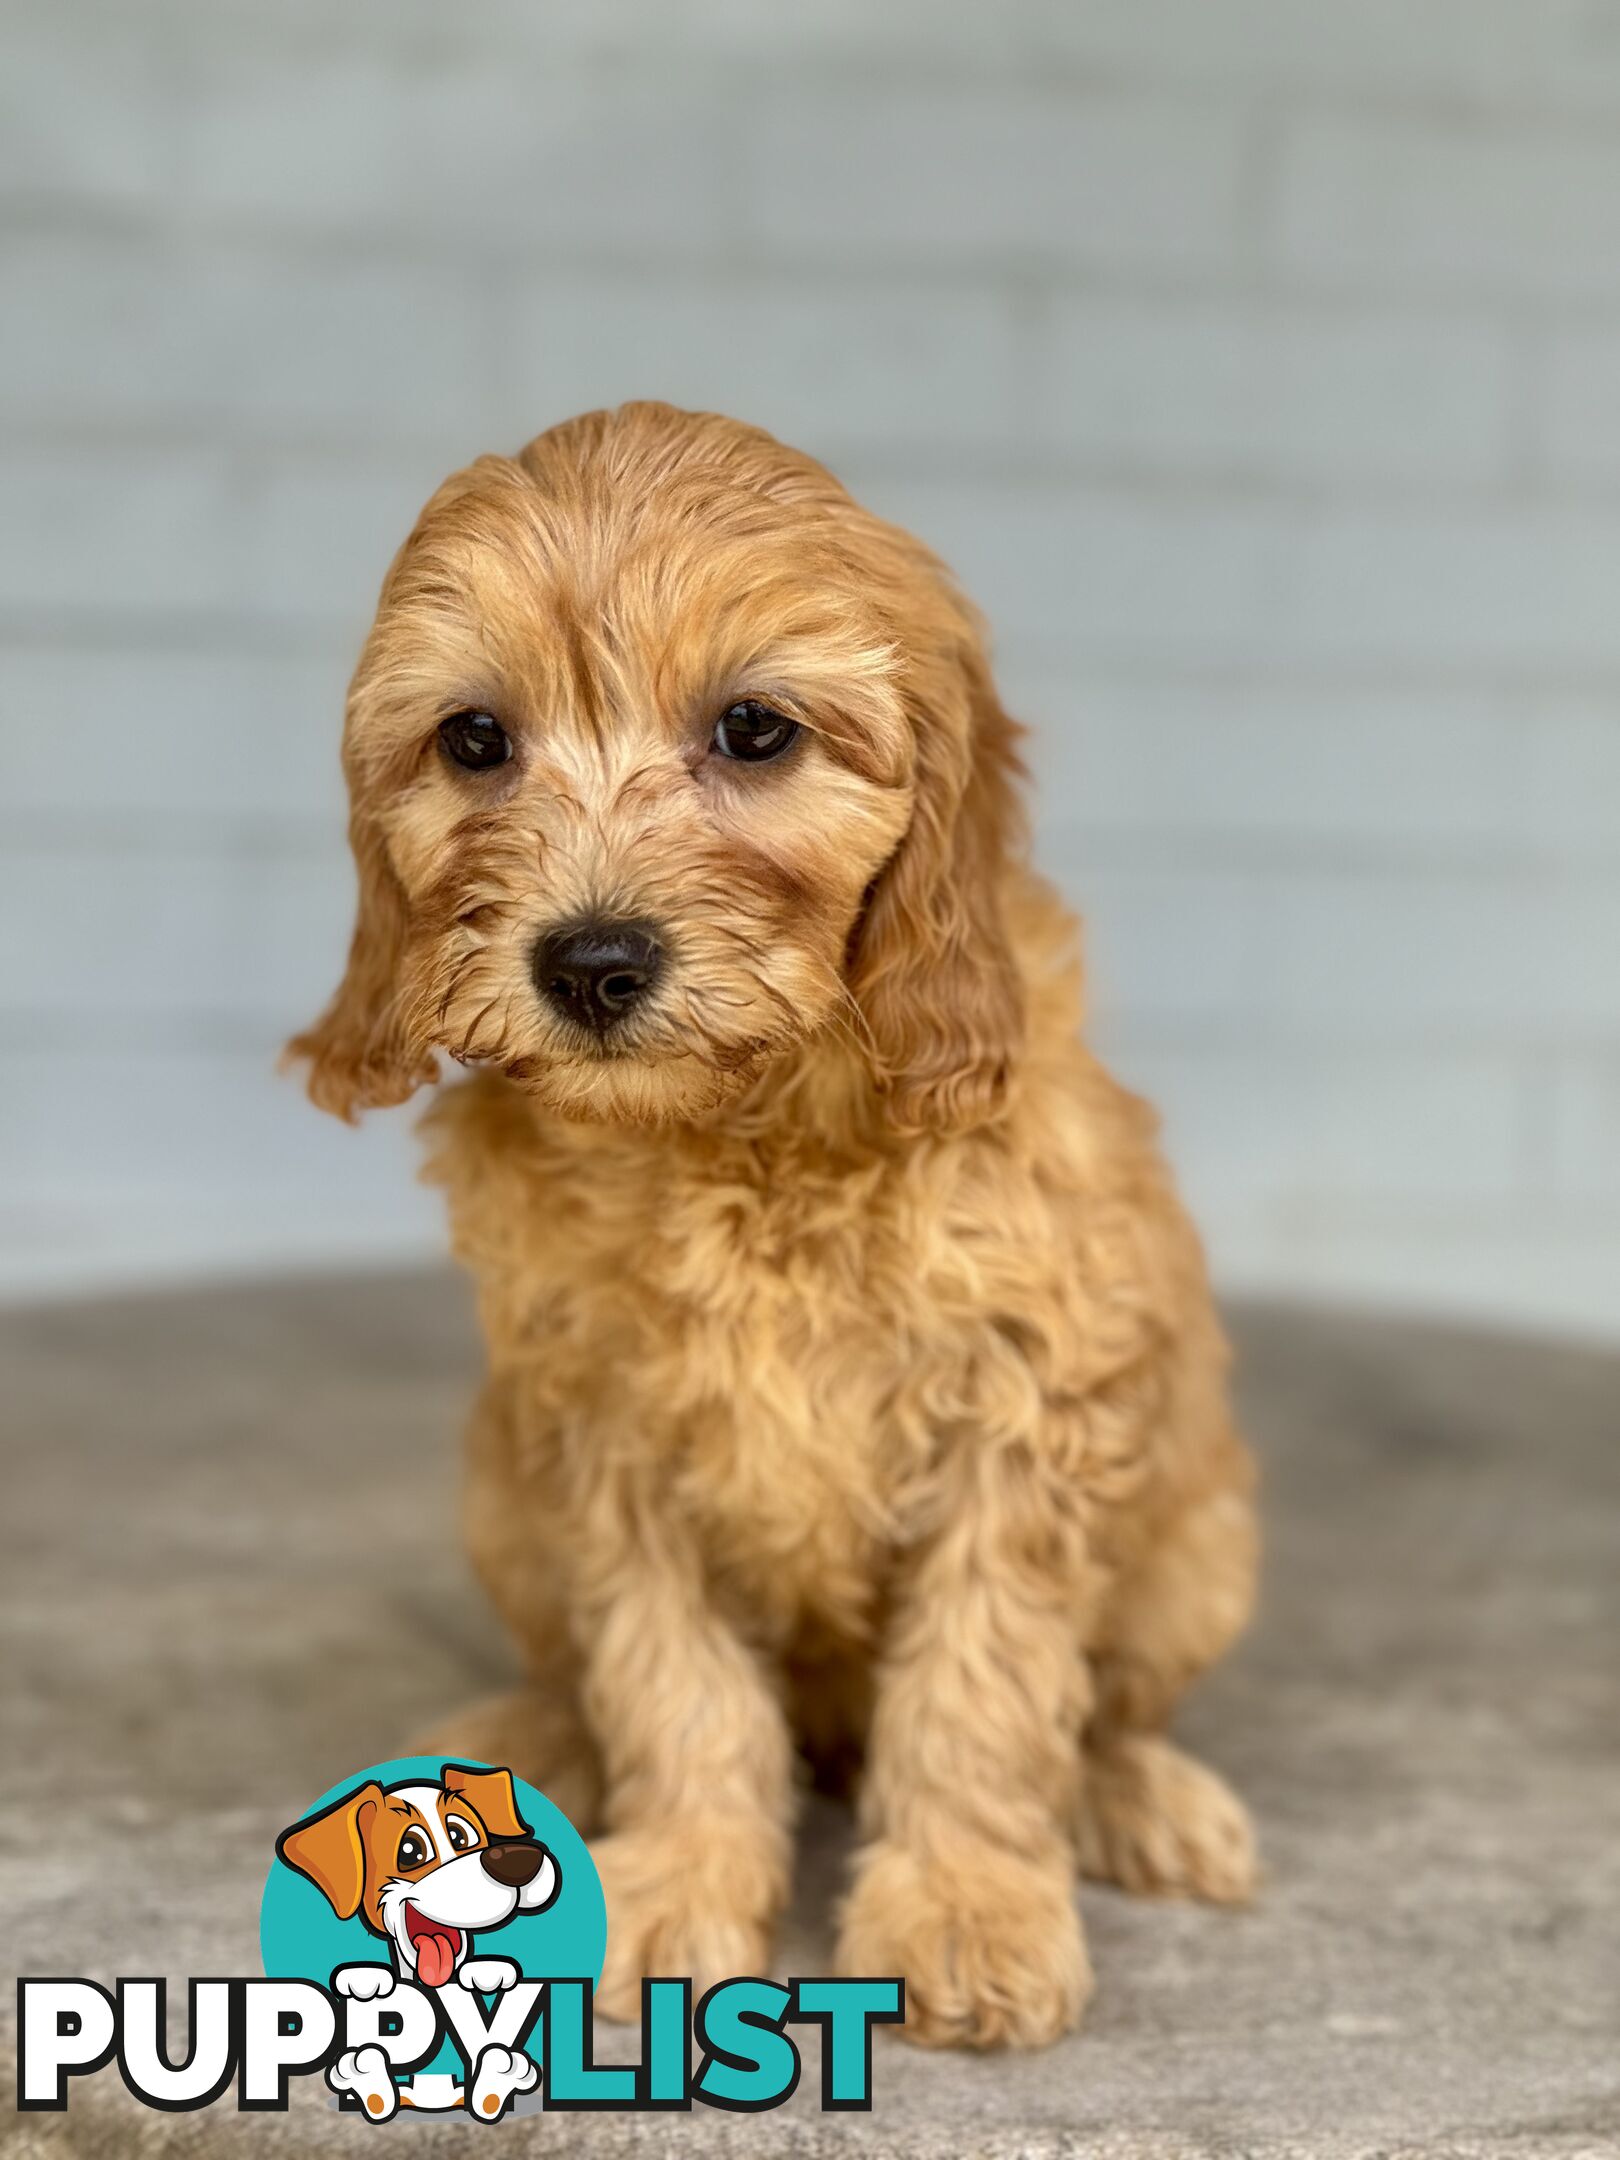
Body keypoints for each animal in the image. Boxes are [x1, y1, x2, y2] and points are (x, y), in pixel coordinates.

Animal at [291, 401, 1261, 2039]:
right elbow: (673, 1686)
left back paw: (1139, 1799)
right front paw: (669, 1885)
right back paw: (528, 1749)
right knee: (580, 1681)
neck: (739, 1131)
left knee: (1102, 1711)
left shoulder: (1021, 1412)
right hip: (501, 1497)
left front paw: (967, 1906)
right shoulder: (606, 1438)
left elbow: (985, 1688)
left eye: (756, 730)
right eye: (475, 740)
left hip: (1199, 1544)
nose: (592, 963)